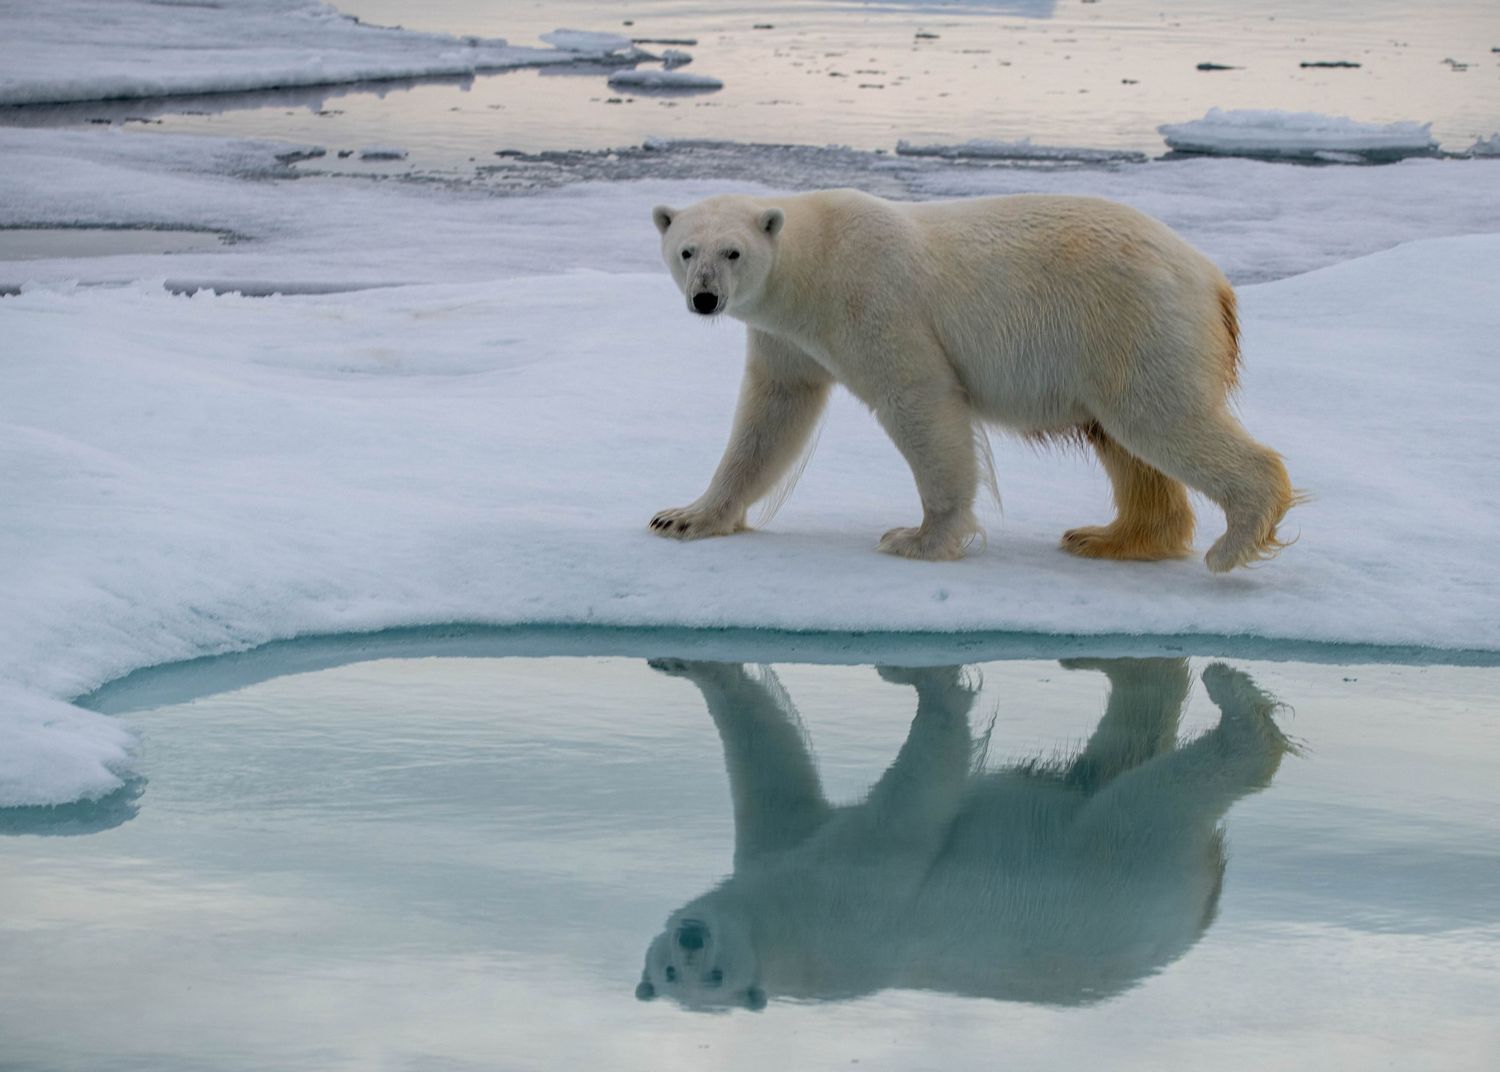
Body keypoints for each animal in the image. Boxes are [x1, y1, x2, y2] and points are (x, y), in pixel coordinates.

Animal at [635, 657, 1293, 1011]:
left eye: (714, 977)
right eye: (669, 972)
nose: (692, 939)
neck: (782, 929)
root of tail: (1203, 910)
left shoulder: (849, 915)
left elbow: (912, 805)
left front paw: (925, 682)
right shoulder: (777, 850)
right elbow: (772, 766)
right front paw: (689, 664)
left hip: (1125, 865)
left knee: (1155, 796)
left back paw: (1236, 702)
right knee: (1123, 750)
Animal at [648, 190, 1299, 572]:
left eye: (733, 252)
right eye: (686, 250)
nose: (705, 299)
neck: (817, 261)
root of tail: (1214, 280)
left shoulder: (874, 301)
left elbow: (919, 399)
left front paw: (917, 538)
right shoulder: (787, 338)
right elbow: (771, 416)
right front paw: (683, 518)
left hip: (1134, 321)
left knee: (1158, 419)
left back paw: (1233, 541)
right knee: (1122, 439)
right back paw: (1105, 537)